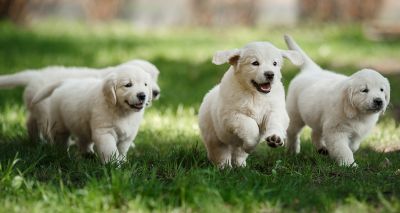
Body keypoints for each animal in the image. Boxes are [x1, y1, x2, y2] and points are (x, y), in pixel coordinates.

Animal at [0, 59, 161, 142]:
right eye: (129, 84)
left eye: (154, 78)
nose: (156, 92)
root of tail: (34, 75)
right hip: (46, 110)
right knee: (46, 127)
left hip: (36, 106)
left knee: (30, 121)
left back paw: (34, 140)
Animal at [284, 34, 390, 166]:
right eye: (364, 90)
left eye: (382, 90)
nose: (379, 101)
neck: (358, 114)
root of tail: (312, 70)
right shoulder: (336, 131)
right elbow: (343, 149)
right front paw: (349, 165)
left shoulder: (358, 133)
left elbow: (353, 146)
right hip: (295, 114)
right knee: (292, 132)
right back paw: (292, 151)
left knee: (315, 133)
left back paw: (321, 148)